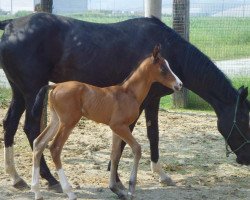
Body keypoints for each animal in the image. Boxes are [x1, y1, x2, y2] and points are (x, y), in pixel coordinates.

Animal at [31, 45, 183, 200]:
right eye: (163, 68)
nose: (179, 84)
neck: (129, 93)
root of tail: (55, 86)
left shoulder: (116, 128)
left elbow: (114, 155)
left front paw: (115, 189)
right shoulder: (119, 126)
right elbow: (137, 149)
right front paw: (130, 189)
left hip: (56, 120)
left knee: (39, 143)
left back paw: (37, 192)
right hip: (68, 122)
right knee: (55, 148)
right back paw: (69, 192)